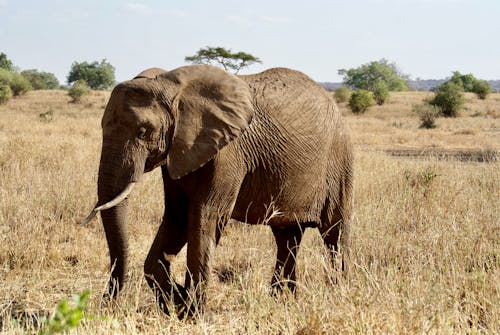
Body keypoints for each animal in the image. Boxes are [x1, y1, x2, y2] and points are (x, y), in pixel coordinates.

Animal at [82, 63, 354, 318]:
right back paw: (283, 301)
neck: (170, 86)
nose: (106, 306)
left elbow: (206, 217)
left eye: (142, 132)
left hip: (339, 161)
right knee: (287, 238)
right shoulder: (177, 151)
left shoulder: (228, 153)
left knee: (334, 234)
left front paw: (192, 313)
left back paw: (337, 295)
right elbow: (177, 217)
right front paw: (179, 303)